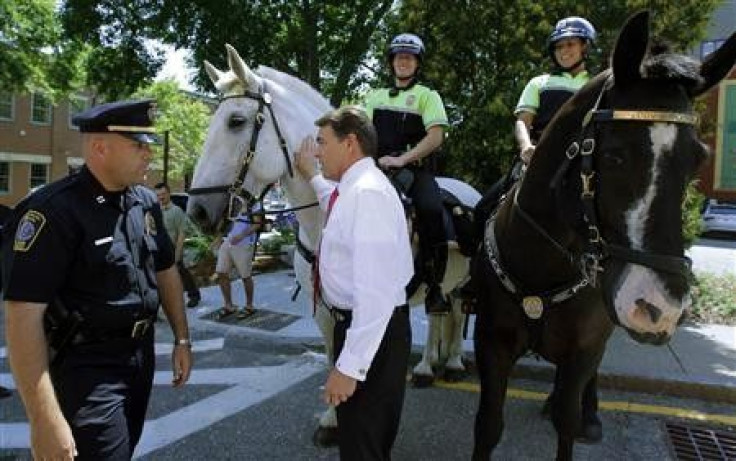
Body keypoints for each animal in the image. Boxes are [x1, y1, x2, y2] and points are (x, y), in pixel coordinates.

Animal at [187, 45, 480, 444]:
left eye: (236, 121)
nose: (197, 210)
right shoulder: (324, 310)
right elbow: (332, 358)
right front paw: (331, 421)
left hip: (463, 281)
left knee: (456, 314)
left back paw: (449, 362)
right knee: (441, 316)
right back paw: (428, 367)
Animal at [472, 10, 736, 460]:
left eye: (698, 158)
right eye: (614, 155)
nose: (659, 307)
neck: (545, 263)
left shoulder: (585, 347)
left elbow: (567, 421)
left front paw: (579, 415)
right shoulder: (492, 342)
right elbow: (488, 426)